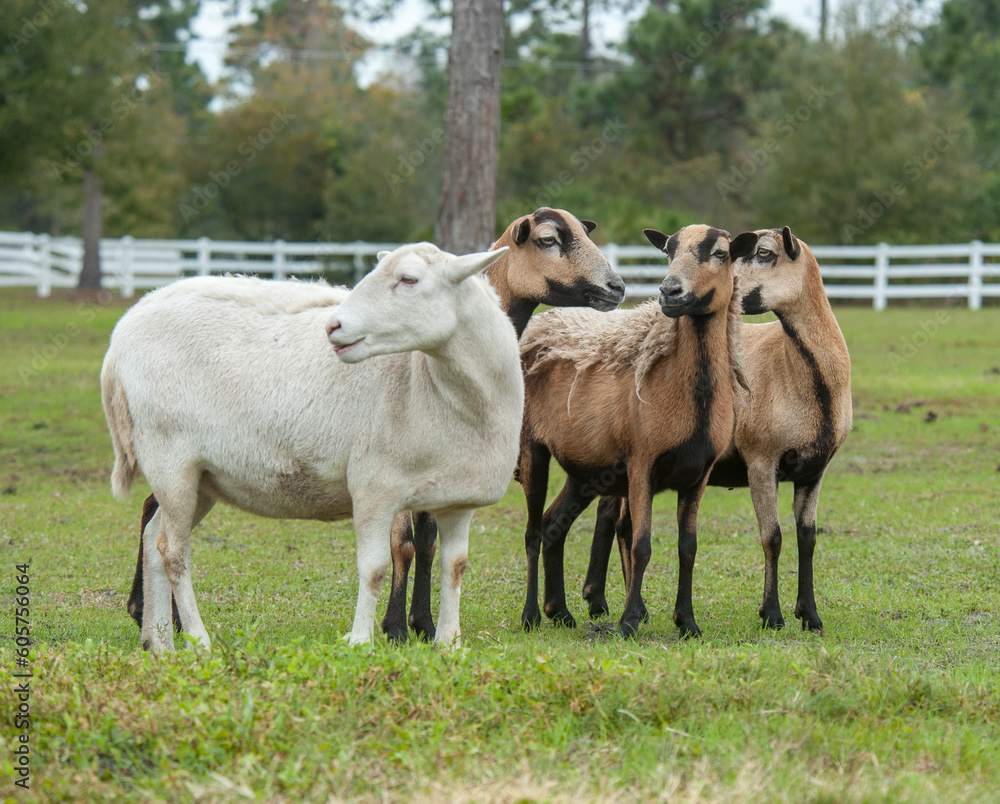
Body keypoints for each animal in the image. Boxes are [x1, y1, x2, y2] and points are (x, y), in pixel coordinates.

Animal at [101, 242, 524, 652]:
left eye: (409, 279)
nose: (333, 325)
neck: (435, 386)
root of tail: (124, 329)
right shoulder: (374, 487)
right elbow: (374, 568)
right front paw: (360, 642)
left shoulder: (459, 501)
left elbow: (455, 567)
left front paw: (449, 643)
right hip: (169, 458)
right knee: (172, 551)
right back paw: (197, 640)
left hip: (203, 477)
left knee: (152, 538)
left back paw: (158, 642)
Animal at [516, 223, 756, 636]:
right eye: (668, 251)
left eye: (720, 253)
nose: (669, 292)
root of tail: (541, 323)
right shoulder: (642, 463)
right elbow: (640, 544)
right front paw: (629, 621)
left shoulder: (699, 474)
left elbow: (688, 547)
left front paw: (687, 622)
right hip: (533, 447)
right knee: (533, 530)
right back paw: (531, 615)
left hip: (585, 468)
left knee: (553, 524)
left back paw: (559, 611)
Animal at [580, 228, 852, 636]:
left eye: (764, 253)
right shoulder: (761, 460)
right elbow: (773, 537)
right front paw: (772, 615)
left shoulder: (815, 469)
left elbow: (808, 538)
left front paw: (810, 615)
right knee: (618, 520)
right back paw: (609, 603)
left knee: (612, 515)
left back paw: (611, 602)